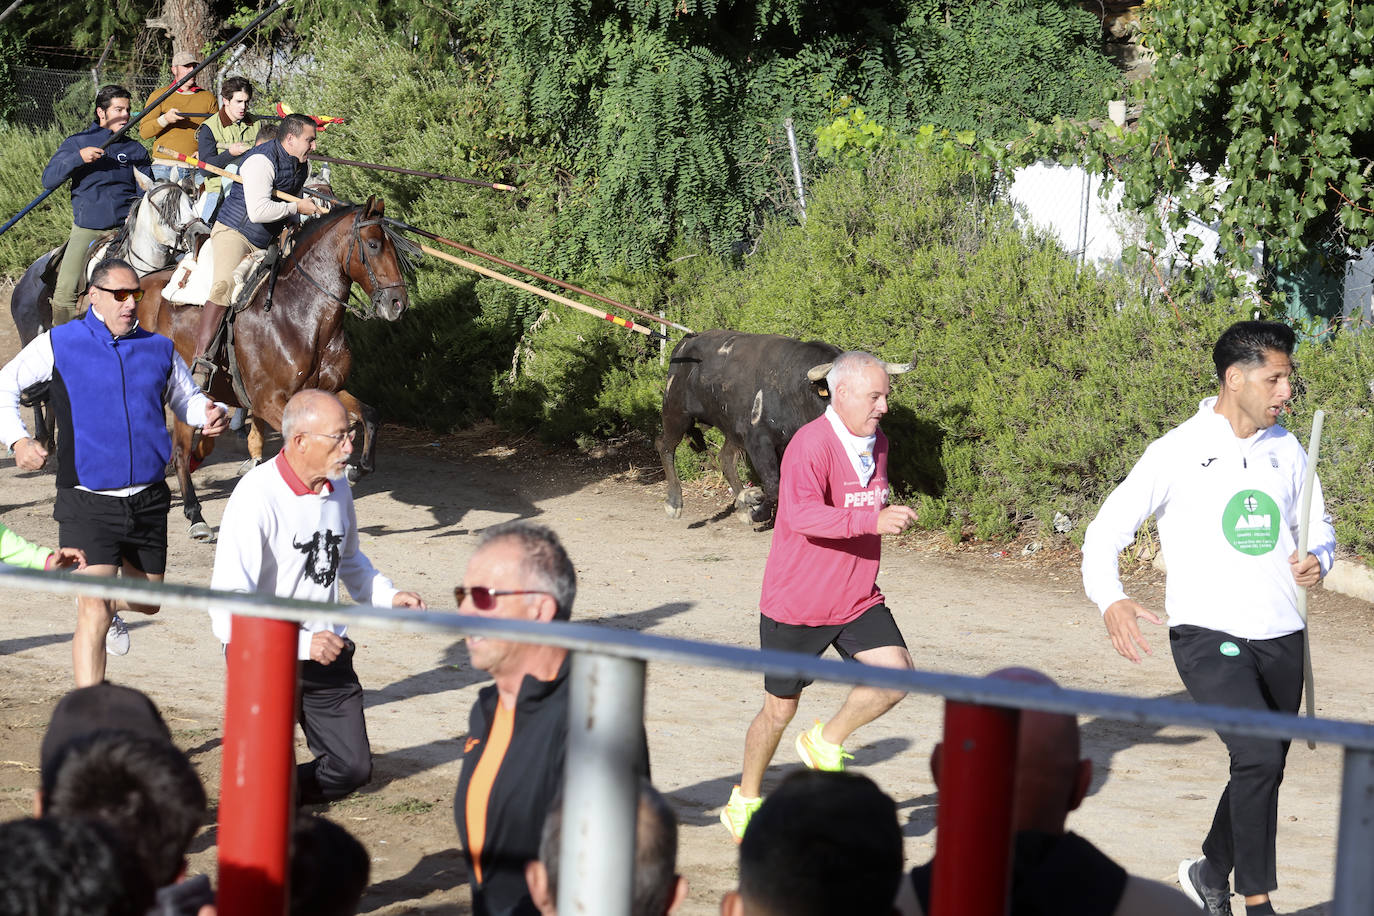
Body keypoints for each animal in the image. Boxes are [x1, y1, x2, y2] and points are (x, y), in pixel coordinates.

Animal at [134, 193, 414, 538]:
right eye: (374, 245)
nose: (398, 304)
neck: (298, 314)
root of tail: (141, 285)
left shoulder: (326, 391)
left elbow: (371, 416)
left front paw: (355, 470)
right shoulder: (268, 402)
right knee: (179, 450)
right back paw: (194, 515)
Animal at [656, 330, 912, 527]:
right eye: (839, 390)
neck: (794, 390)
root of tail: (686, 342)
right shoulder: (759, 442)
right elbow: (774, 483)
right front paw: (759, 509)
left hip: (731, 430)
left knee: (725, 458)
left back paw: (742, 507)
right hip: (676, 413)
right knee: (665, 446)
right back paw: (674, 503)